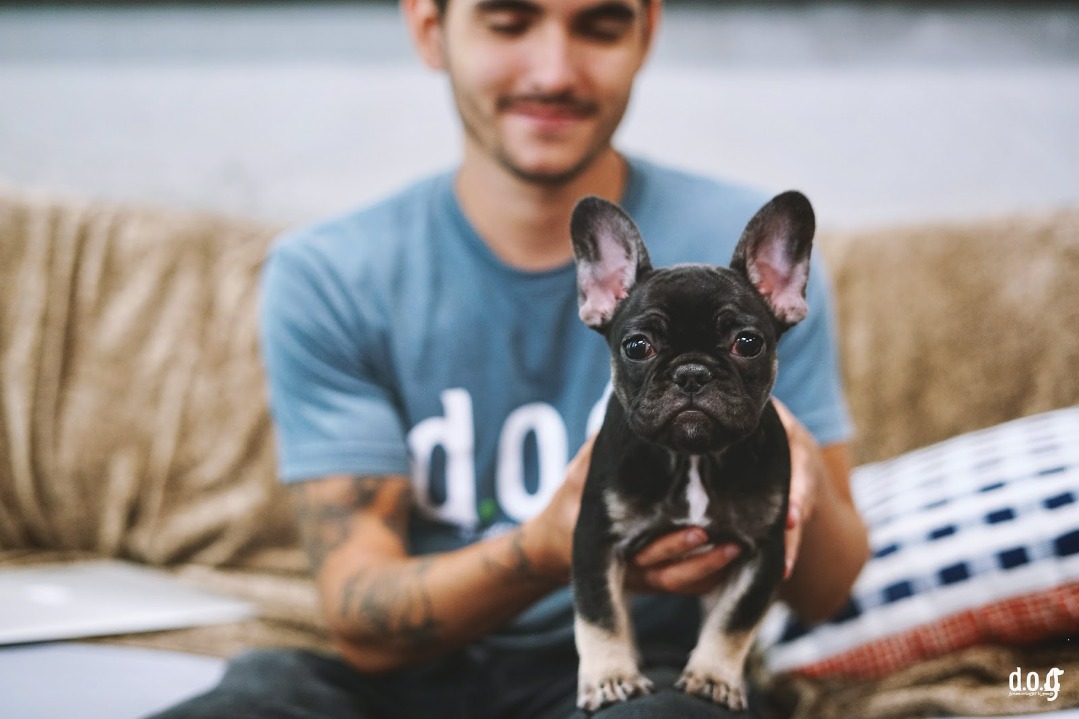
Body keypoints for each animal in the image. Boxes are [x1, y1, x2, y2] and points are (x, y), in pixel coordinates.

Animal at [569, 190, 815, 712]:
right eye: (637, 346)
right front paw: (611, 677)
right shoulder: (595, 539)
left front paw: (713, 677)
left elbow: (733, 620)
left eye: (748, 342)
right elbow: (600, 613)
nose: (692, 373)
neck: (693, 457)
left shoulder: (763, 552)